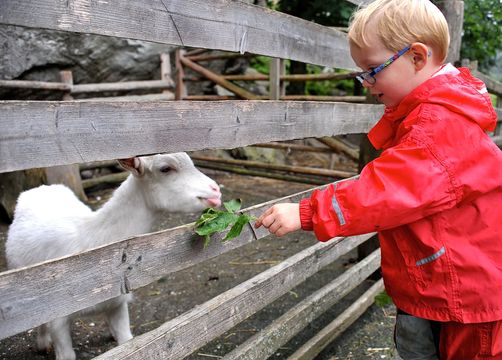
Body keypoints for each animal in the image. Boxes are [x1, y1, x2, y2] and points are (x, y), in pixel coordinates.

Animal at [5, 153, 222, 360]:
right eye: (165, 168)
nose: (216, 191)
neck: (94, 240)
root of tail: (41, 188)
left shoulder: (118, 304)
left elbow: (126, 343)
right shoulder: (58, 315)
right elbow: (65, 352)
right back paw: (42, 343)